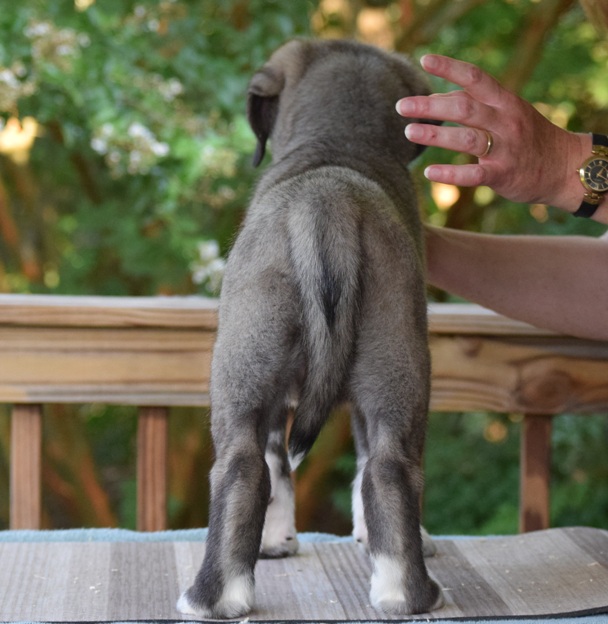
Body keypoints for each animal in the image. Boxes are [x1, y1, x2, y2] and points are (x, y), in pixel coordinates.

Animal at [177, 38, 444, 619]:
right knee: (386, 468)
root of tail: (329, 202)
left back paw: (210, 597)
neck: (337, 143)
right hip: (393, 372)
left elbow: (280, 469)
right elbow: (330, 469)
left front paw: (276, 542)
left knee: (246, 469)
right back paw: (404, 594)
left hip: (250, 376)